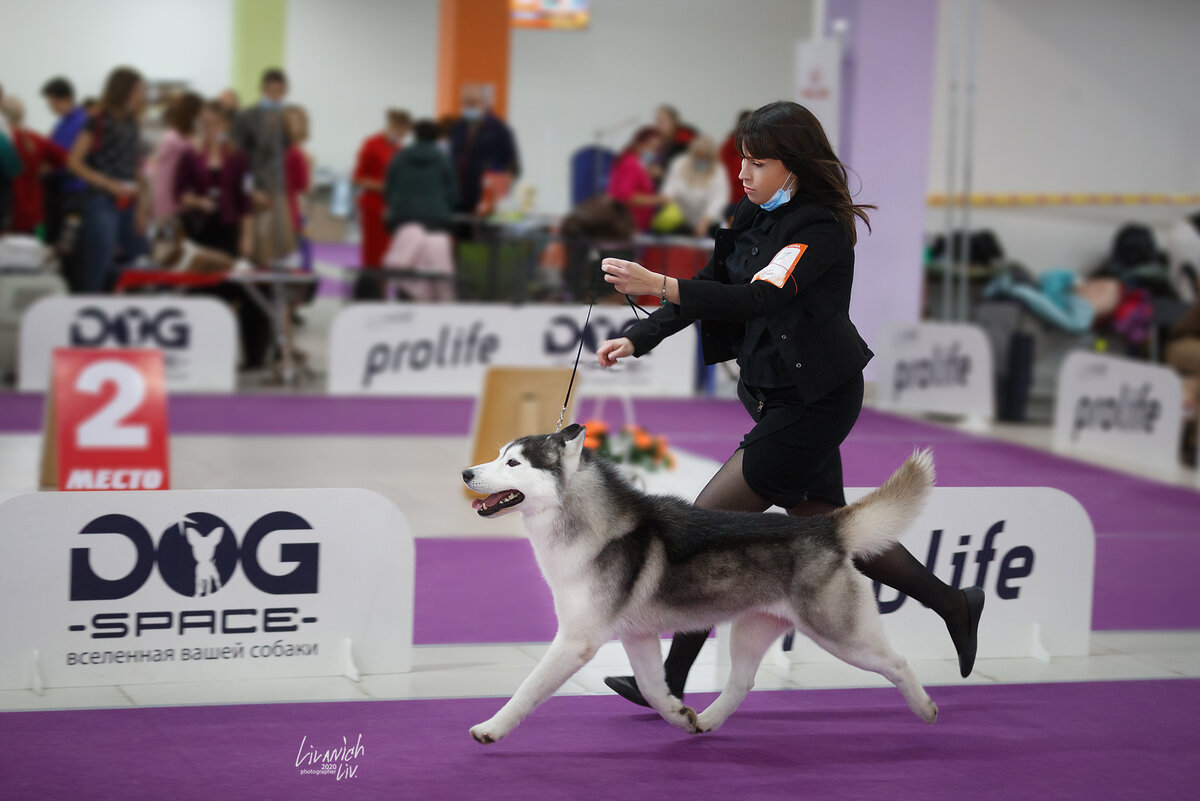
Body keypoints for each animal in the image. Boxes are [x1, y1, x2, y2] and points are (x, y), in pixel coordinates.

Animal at [463, 424, 940, 743]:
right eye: (498, 454)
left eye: (512, 463)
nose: (467, 473)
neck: (589, 525)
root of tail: (825, 527)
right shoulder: (637, 636)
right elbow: (653, 689)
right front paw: (678, 715)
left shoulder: (576, 641)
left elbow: (529, 688)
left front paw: (491, 727)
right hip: (752, 630)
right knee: (741, 682)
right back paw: (708, 720)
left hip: (841, 634)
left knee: (897, 663)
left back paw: (926, 706)